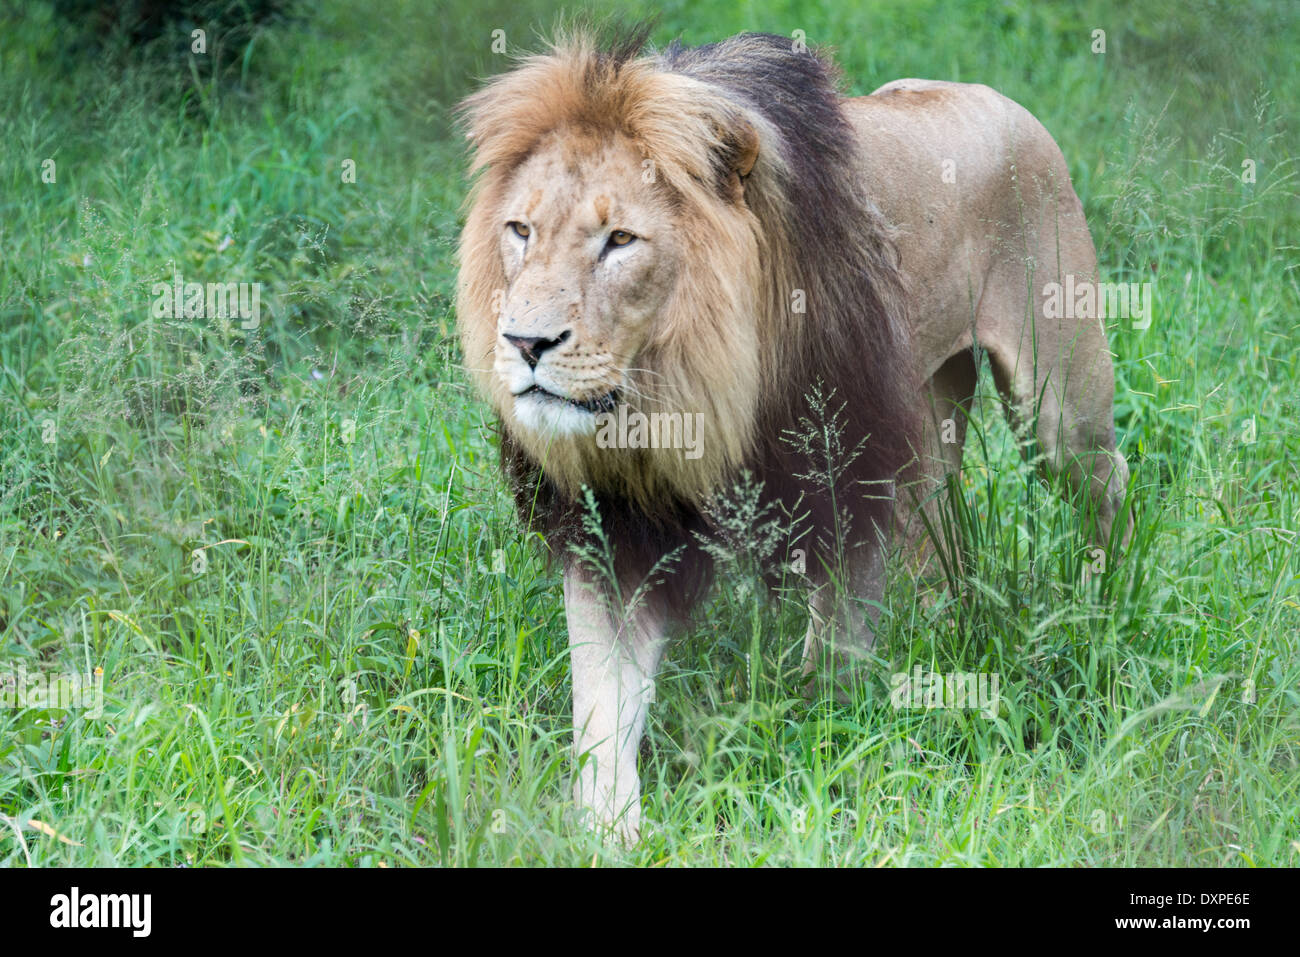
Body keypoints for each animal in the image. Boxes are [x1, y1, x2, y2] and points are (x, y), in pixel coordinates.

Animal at [454, 26, 1128, 842]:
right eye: (521, 231)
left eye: (620, 240)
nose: (524, 342)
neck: (687, 389)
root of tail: (996, 97)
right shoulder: (615, 523)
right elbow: (603, 702)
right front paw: (606, 827)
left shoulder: (851, 472)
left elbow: (833, 638)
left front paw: (821, 738)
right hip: (935, 406)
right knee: (938, 514)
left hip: (1055, 400)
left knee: (1109, 479)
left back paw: (1099, 602)